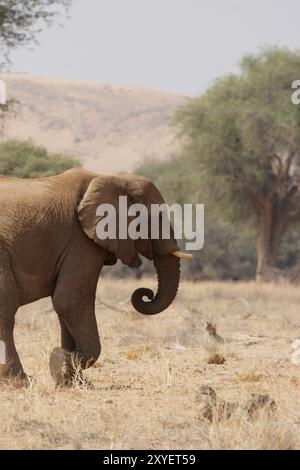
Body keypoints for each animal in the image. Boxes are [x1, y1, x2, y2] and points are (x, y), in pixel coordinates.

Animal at [0, 168, 190, 386]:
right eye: (157, 217)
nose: (146, 293)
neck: (113, 178)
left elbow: (65, 307)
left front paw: (72, 379)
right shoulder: (81, 240)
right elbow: (69, 301)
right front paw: (60, 362)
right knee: (6, 304)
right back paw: (20, 383)